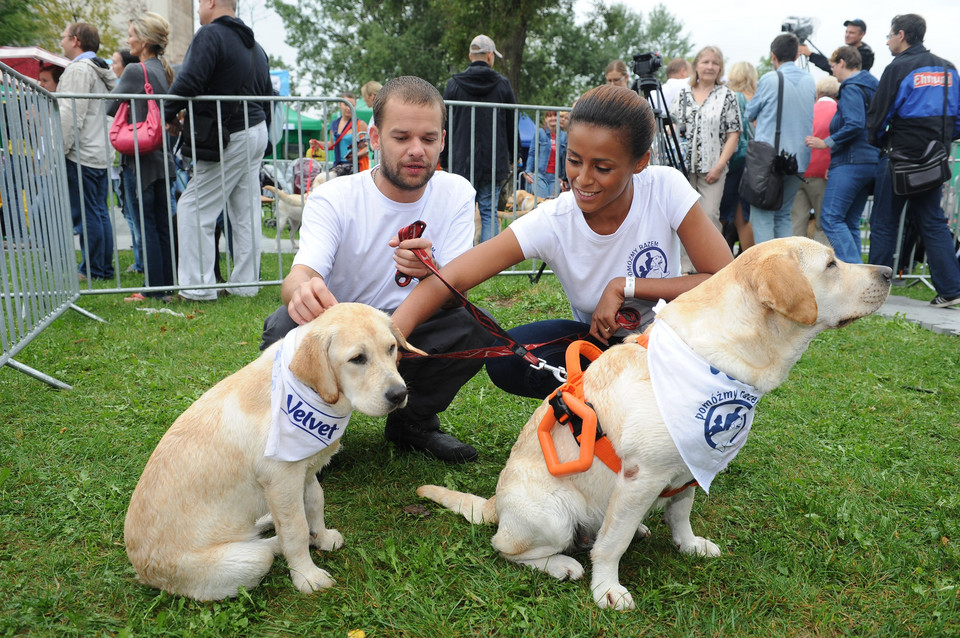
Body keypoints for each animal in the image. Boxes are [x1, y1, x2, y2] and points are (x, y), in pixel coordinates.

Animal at [124, 304, 424, 600]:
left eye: (391, 348)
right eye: (357, 358)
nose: (399, 394)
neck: (308, 393)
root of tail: (143, 572)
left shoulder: (305, 471)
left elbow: (316, 501)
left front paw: (322, 536)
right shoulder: (282, 481)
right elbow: (295, 531)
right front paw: (307, 575)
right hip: (246, 560)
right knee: (265, 549)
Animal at [418, 239, 892, 608]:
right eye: (831, 265)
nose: (888, 271)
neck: (715, 358)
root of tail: (496, 504)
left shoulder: (689, 466)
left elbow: (680, 511)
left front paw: (687, 544)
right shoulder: (641, 475)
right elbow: (612, 545)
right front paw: (606, 589)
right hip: (553, 516)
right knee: (509, 548)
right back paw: (563, 564)